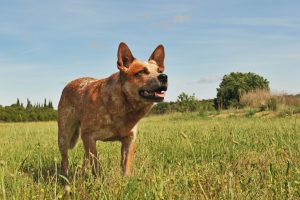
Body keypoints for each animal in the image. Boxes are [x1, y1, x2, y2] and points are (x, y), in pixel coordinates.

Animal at [57, 41, 168, 175]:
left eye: (159, 70)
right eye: (141, 72)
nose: (164, 76)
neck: (124, 108)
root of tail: (69, 84)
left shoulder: (129, 139)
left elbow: (126, 166)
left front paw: (127, 179)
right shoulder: (89, 136)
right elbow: (96, 164)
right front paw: (99, 178)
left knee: (85, 156)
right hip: (64, 136)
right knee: (65, 158)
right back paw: (65, 175)